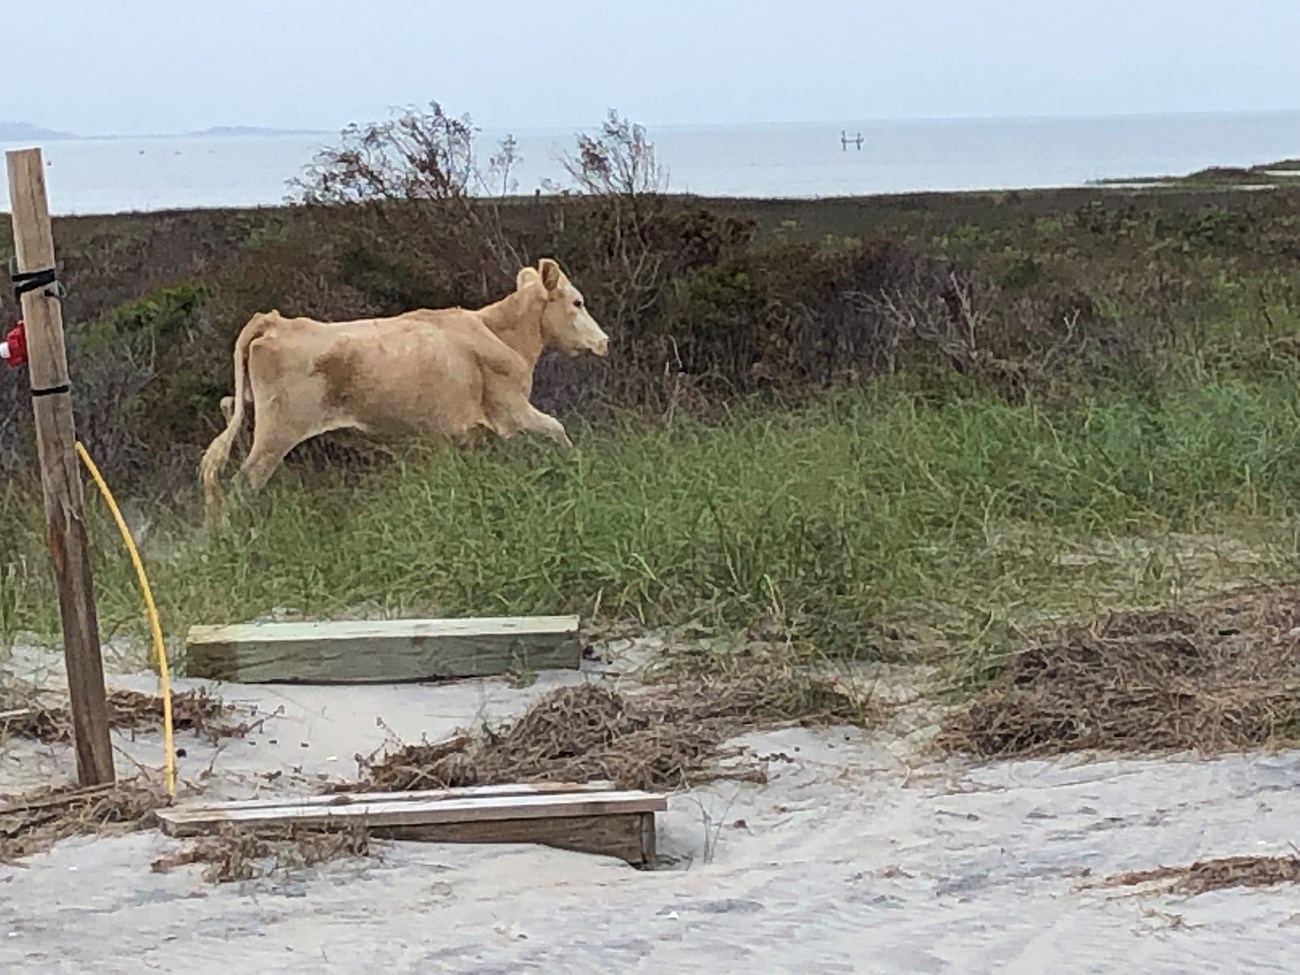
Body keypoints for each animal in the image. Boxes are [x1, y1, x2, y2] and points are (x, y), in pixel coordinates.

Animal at [196, 256, 608, 522]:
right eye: (577, 302)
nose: (604, 341)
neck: (499, 333)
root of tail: (276, 321)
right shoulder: (512, 410)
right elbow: (558, 428)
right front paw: (576, 465)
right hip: (276, 434)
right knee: (239, 487)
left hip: (252, 415)